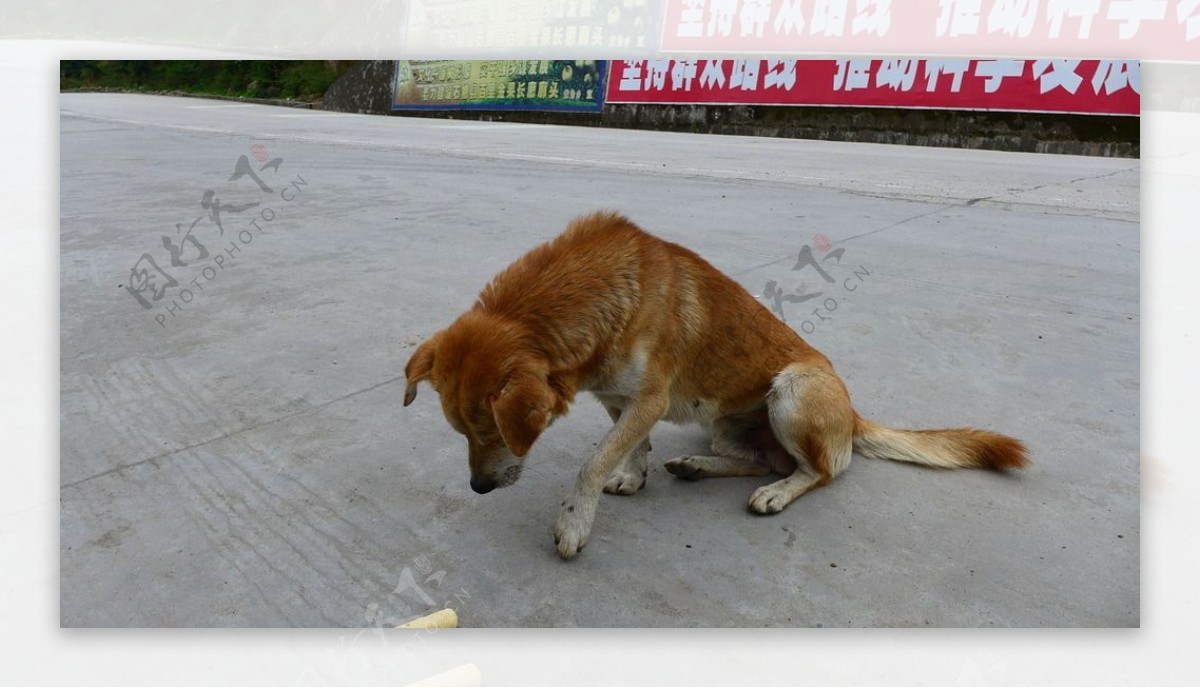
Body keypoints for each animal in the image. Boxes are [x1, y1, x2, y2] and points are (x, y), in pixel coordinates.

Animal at [408, 208, 1027, 557]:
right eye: (461, 432)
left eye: (492, 432)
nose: (477, 489)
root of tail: (852, 414)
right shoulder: (619, 398)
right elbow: (630, 447)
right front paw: (635, 477)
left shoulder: (648, 397)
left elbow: (592, 462)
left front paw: (574, 523)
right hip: (725, 421)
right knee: (760, 459)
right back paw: (698, 466)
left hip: (792, 391)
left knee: (820, 471)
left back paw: (777, 493)